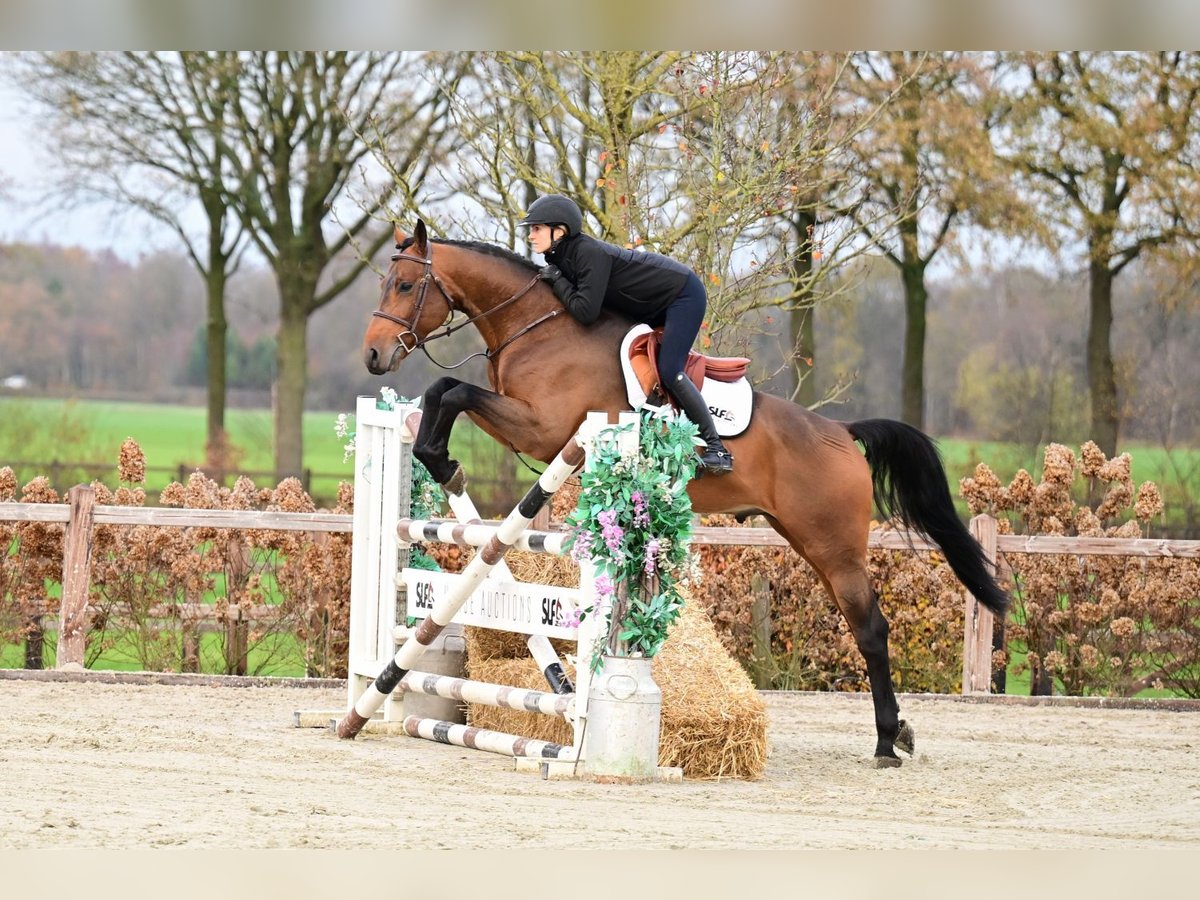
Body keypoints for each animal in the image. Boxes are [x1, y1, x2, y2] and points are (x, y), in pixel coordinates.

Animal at [362, 219, 1009, 767]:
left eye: (405, 284)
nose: (372, 355)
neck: (535, 326)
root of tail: (843, 434)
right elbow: (444, 390)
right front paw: (437, 458)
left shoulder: (543, 428)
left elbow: (454, 390)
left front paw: (439, 457)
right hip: (809, 542)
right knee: (863, 625)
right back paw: (899, 732)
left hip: (835, 546)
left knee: (871, 629)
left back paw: (884, 742)